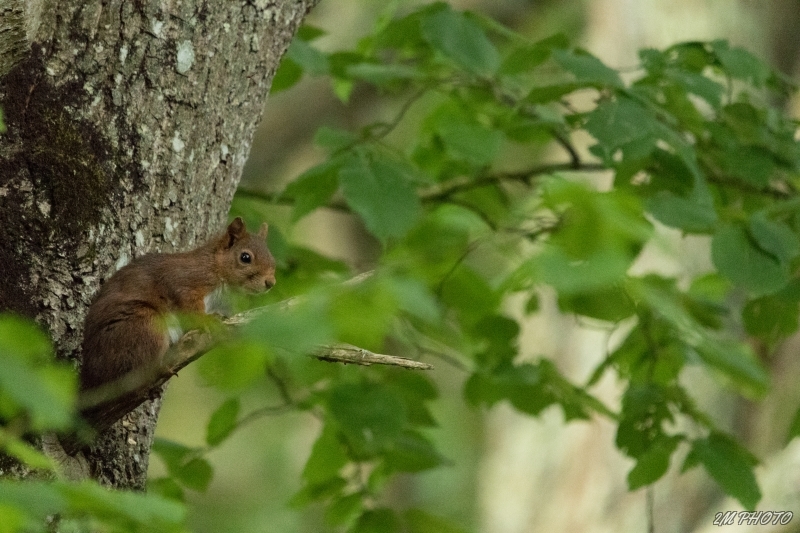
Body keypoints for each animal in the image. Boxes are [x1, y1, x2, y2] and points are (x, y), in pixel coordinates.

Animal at [79, 214, 276, 392]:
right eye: (245, 257)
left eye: (272, 259)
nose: (271, 283)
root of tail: (90, 376)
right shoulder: (185, 279)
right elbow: (188, 304)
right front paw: (207, 320)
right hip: (144, 324)